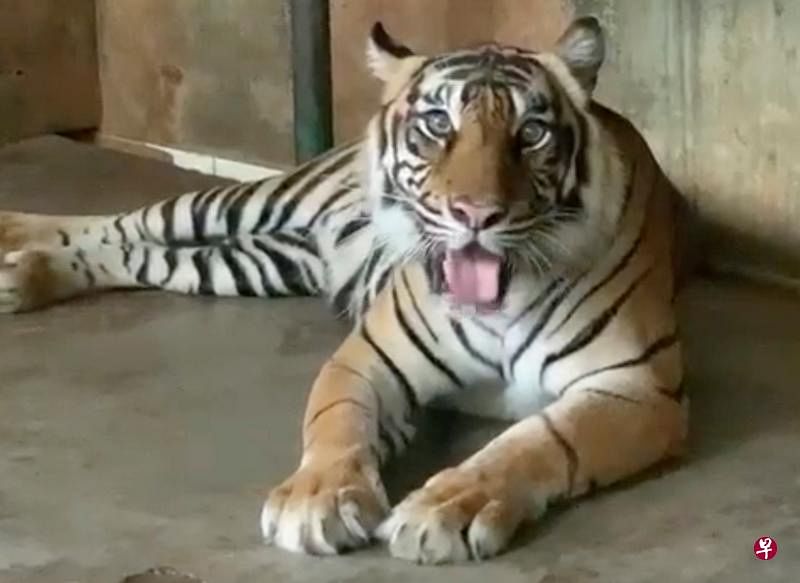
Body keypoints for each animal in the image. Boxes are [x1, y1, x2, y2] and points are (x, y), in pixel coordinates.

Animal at [0, 17, 688, 564]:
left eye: (532, 133)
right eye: (437, 123)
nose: (475, 214)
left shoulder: (636, 387)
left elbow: (533, 444)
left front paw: (450, 507)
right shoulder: (367, 357)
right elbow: (336, 421)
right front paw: (317, 500)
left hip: (249, 263)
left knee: (132, 254)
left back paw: (23, 274)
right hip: (239, 204)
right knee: (128, 222)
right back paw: (14, 236)